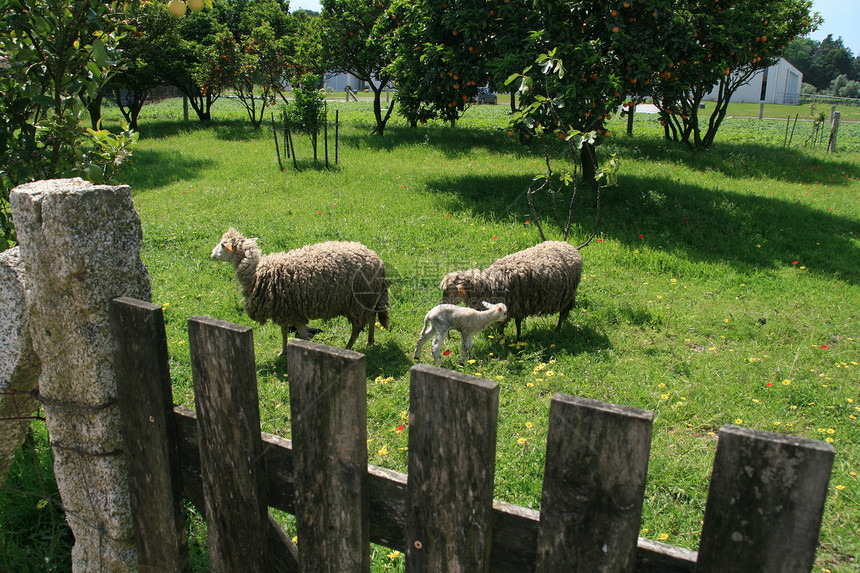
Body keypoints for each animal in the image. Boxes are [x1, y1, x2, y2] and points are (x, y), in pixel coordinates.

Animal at [211, 228, 390, 354]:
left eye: (223, 244)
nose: (211, 255)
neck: (256, 272)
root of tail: (378, 261)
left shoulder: (293, 312)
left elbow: (302, 335)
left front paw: (309, 348)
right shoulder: (284, 310)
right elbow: (284, 332)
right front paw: (283, 352)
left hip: (358, 302)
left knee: (357, 327)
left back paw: (348, 346)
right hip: (368, 298)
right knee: (372, 317)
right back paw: (370, 341)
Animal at [440, 239, 580, 338]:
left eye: (450, 292)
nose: (441, 305)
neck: (490, 284)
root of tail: (568, 245)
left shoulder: (513, 305)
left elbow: (506, 324)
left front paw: (502, 339)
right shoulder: (518, 305)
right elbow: (516, 322)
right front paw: (516, 337)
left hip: (568, 296)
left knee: (563, 313)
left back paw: (557, 330)